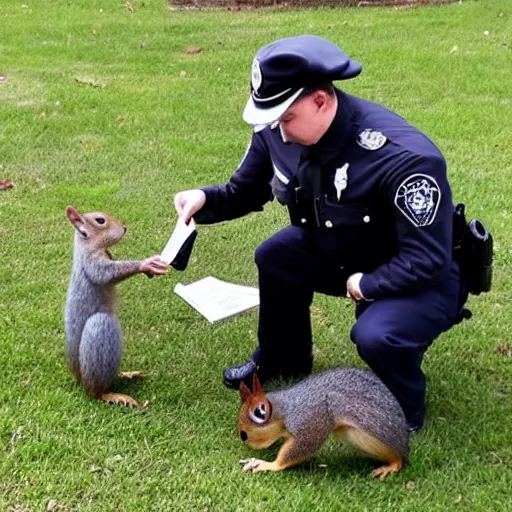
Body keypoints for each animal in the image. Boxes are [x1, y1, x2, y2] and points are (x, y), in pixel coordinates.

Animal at [63, 206, 169, 406]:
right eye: (100, 221)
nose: (124, 227)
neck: (88, 247)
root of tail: (81, 380)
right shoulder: (92, 264)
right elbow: (107, 273)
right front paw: (146, 264)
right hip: (100, 331)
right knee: (96, 393)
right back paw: (113, 395)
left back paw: (127, 374)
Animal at [238, 368, 410, 480]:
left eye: (244, 434)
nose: (247, 444)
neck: (285, 410)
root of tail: (405, 445)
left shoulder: (312, 419)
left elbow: (302, 446)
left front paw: (268, 464)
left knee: (398, 459)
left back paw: (393, 464)